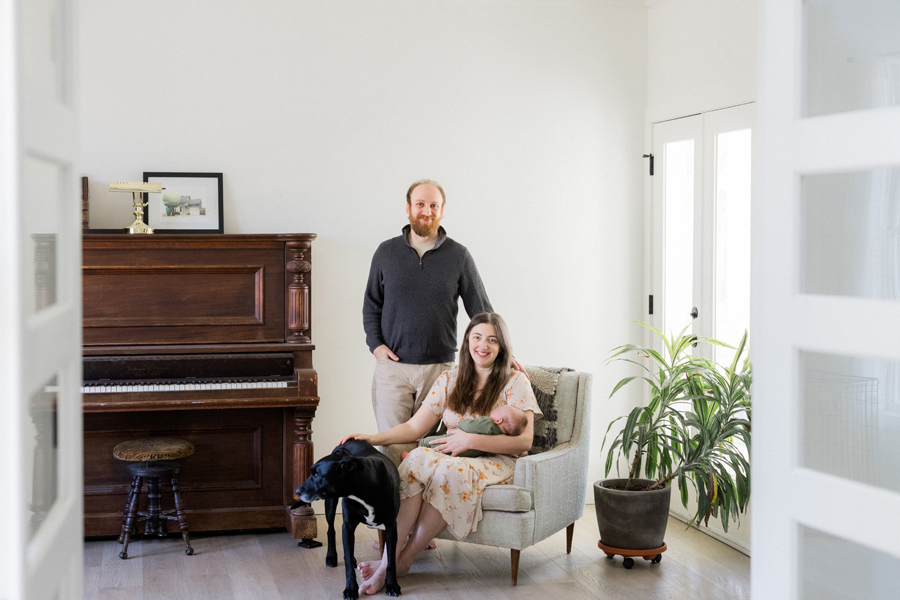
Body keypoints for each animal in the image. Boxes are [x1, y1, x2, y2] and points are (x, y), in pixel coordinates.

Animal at [298, 438, 402, 596]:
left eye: (316, 475)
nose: (297, 491)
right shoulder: (347, 525)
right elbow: (347, 561)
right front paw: (351, 588)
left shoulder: (391, 527)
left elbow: (390, 561)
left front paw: (391, 585)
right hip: (330, 504)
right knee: (331, 530)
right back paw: (331, 556)